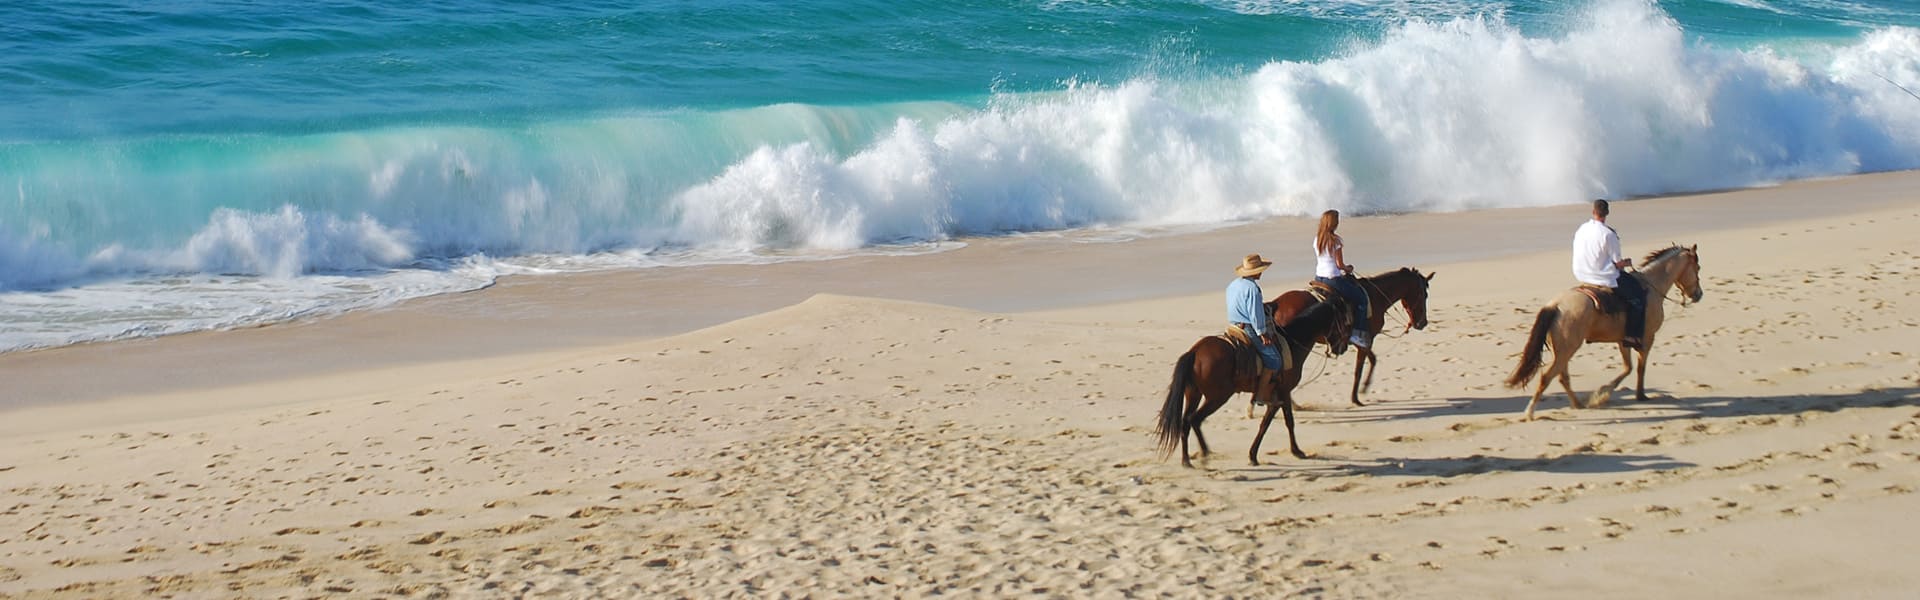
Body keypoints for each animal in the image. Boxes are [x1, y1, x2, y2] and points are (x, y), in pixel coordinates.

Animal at [1152, 300, 1351, 469]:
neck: (1292, 343)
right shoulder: (1282, 393)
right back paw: (1205, 454)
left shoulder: (1280, 395)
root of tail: (1195, 351)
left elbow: (1281, 421)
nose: (1343, 348)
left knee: (1186, 422)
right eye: (1344, 324)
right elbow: (1275, 423)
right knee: (1195, 419)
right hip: (1217, 397)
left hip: (1194, 394)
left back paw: (1187, 460)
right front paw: (1259, 455)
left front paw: (1292, 451)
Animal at [1267, 269, 1436, 411]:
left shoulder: (1361, 340)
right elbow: (1359, 369)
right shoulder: (1365, 339)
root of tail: (1275, 304)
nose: (1423, 323)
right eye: (1424, 295)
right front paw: (1356, 398)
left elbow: (1372, 359)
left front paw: (1364, 388)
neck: (1375, 296)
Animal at [1505, 244, 1704, 421]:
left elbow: (1628, 367)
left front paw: (1603, 393)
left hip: (1562, 351)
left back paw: (1578, 404)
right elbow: (1640, 368)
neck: (1651, 286)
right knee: (1547, 376)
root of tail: (1555, 305)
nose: (1699, 295)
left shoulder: (1623, 341)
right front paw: (1629, 394)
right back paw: (1530, 412)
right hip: (1567, 349)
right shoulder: (1647, 338)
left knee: (1562, 377)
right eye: (1697, 267)